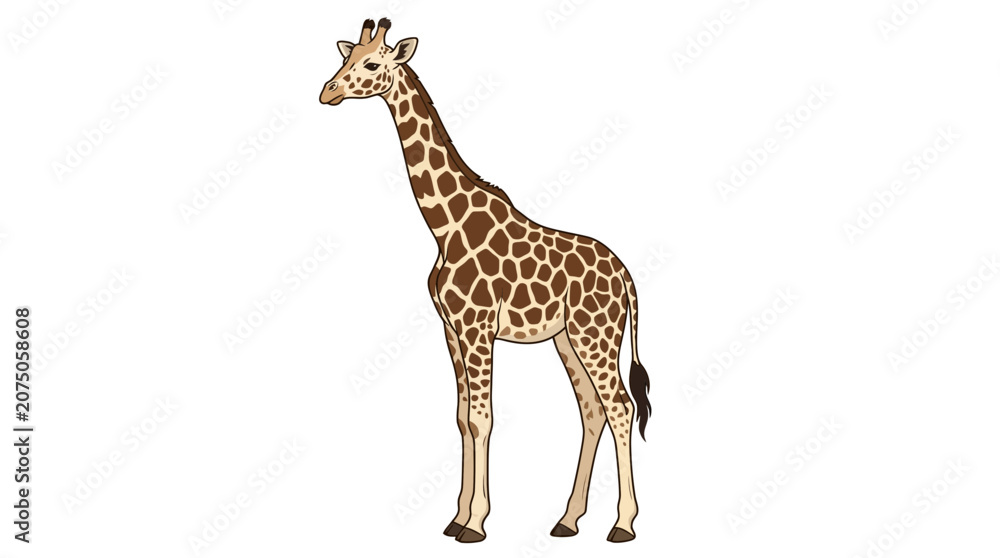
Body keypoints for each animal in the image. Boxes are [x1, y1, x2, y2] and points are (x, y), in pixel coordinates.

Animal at [320, 19, 653, 543]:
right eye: (345, 57)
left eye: (372, 64)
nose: (327, 92)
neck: (445, 226)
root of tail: (626, 277)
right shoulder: (452, 329)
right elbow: (461, 418)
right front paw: (456, 518)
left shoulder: (478, 328)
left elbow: (482, 419)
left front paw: (475, 524)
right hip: (568, 339)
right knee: (593, 410)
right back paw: (567, 520)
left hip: (595, 334)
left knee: (619, 407)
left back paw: (622, 525)